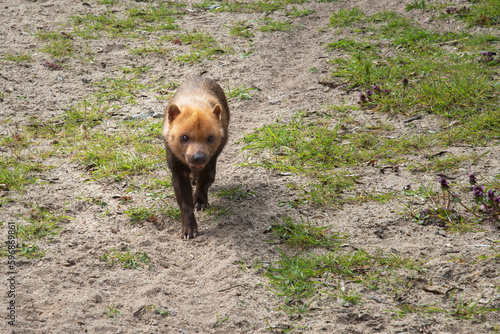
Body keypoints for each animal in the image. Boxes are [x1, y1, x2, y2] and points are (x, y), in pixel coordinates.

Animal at [161, 77, 229, 239]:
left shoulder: (209, 163)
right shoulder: (177, 169)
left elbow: (203, 184)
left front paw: (200, 203)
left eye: (210, 138)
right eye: (184, 137)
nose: (199, 157)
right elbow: (184, 203)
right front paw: (188, 230)